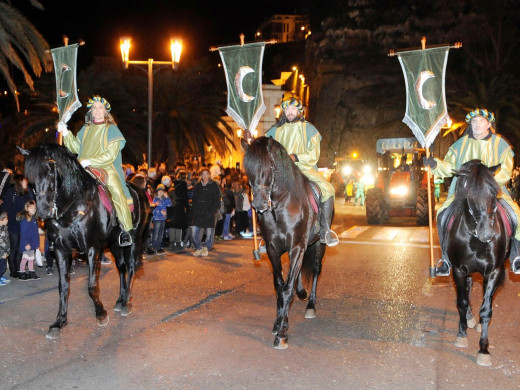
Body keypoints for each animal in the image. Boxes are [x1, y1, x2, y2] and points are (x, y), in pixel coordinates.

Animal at [20, 143, 150, 338]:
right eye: (30, 177)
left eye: (50, 172)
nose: (43, 212)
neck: (73, 207)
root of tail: (140, 190)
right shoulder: (61, 250)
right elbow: (63, 286)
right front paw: (59, 322)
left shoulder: (93, 248)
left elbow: (92, 285)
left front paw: (101, 314)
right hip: (115, 243)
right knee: (121, 267)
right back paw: (120, 299)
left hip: (134, 239)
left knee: (132, 267)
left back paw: (127, 302)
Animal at [243, 137, 324, 350]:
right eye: (248, 169)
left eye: (270, 167)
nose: (259, 205)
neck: (280, 206)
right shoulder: (274, 250)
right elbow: (279, 287)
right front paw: (278, 322)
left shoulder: (296, 247)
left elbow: (287, 290)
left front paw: (281, 335)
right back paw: (301, 292)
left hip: (319, 244)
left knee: (316, 269)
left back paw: (310, 304)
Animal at [444, 158, 512, 366]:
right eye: (469, 194)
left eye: (493, 192)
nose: (486, 234)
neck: (476, 242)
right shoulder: (458, 270)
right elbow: (462, 302)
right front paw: (461, 334)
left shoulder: (493, 272)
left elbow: (486, 309)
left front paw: (483, 349)